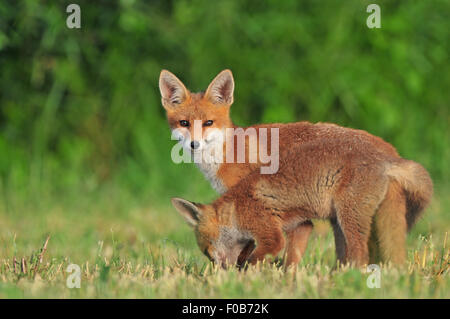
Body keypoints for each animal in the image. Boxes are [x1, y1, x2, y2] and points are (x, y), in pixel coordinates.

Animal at [159, 69, 432, 266]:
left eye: (208, 123)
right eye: (184, 123)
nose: (194, 144)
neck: (226, 152)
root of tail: (391, 155)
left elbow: (254, 245)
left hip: (348, 213)